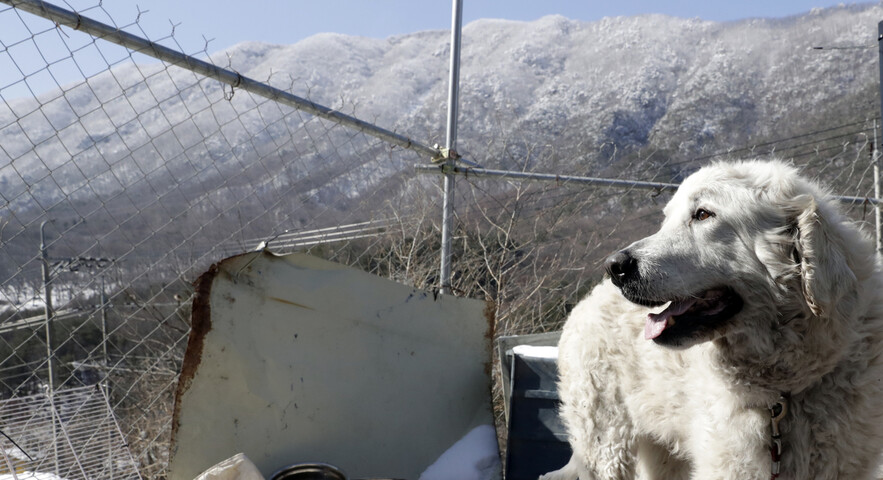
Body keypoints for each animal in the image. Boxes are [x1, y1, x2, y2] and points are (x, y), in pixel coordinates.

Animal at [544, 162, 883, 480]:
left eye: (703, 214)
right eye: (666, 220)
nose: (615, 266)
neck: (783, 393)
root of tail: (586, 301)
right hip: (607, 446)